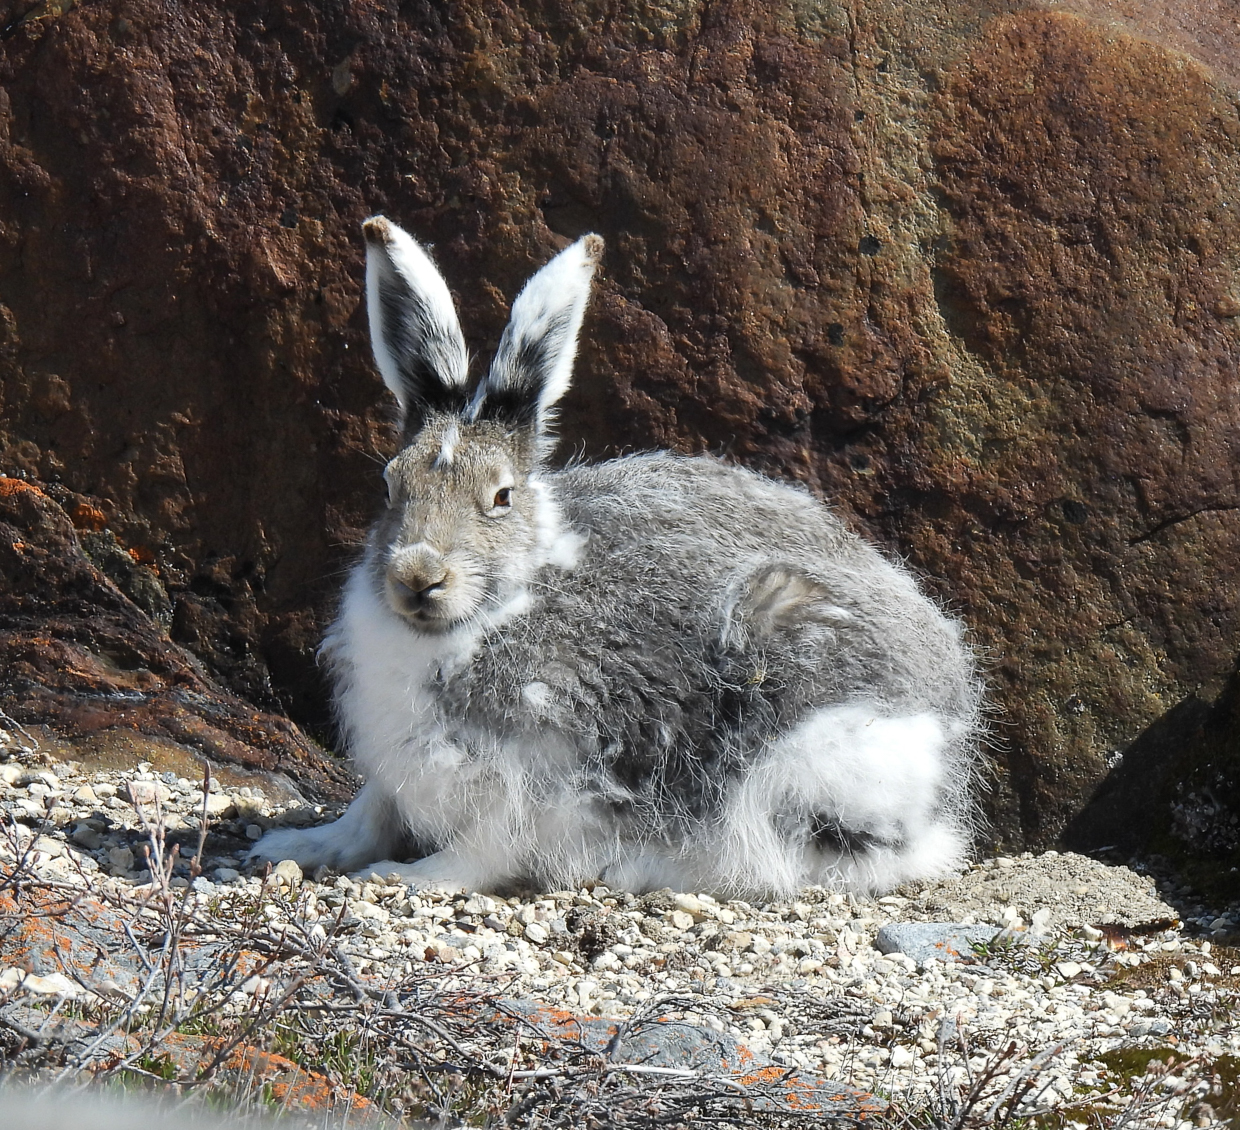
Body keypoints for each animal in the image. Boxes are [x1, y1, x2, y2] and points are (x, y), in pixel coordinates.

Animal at [250, 216, 983, 899]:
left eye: (501, 497)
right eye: (388, 485)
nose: (417, 576)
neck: (498, 606)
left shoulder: (547, 766)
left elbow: (486, 846)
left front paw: (408, 877)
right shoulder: (390, 760)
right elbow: (369, 813)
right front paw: (297, 846)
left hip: (802, 744)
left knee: (795, 859)